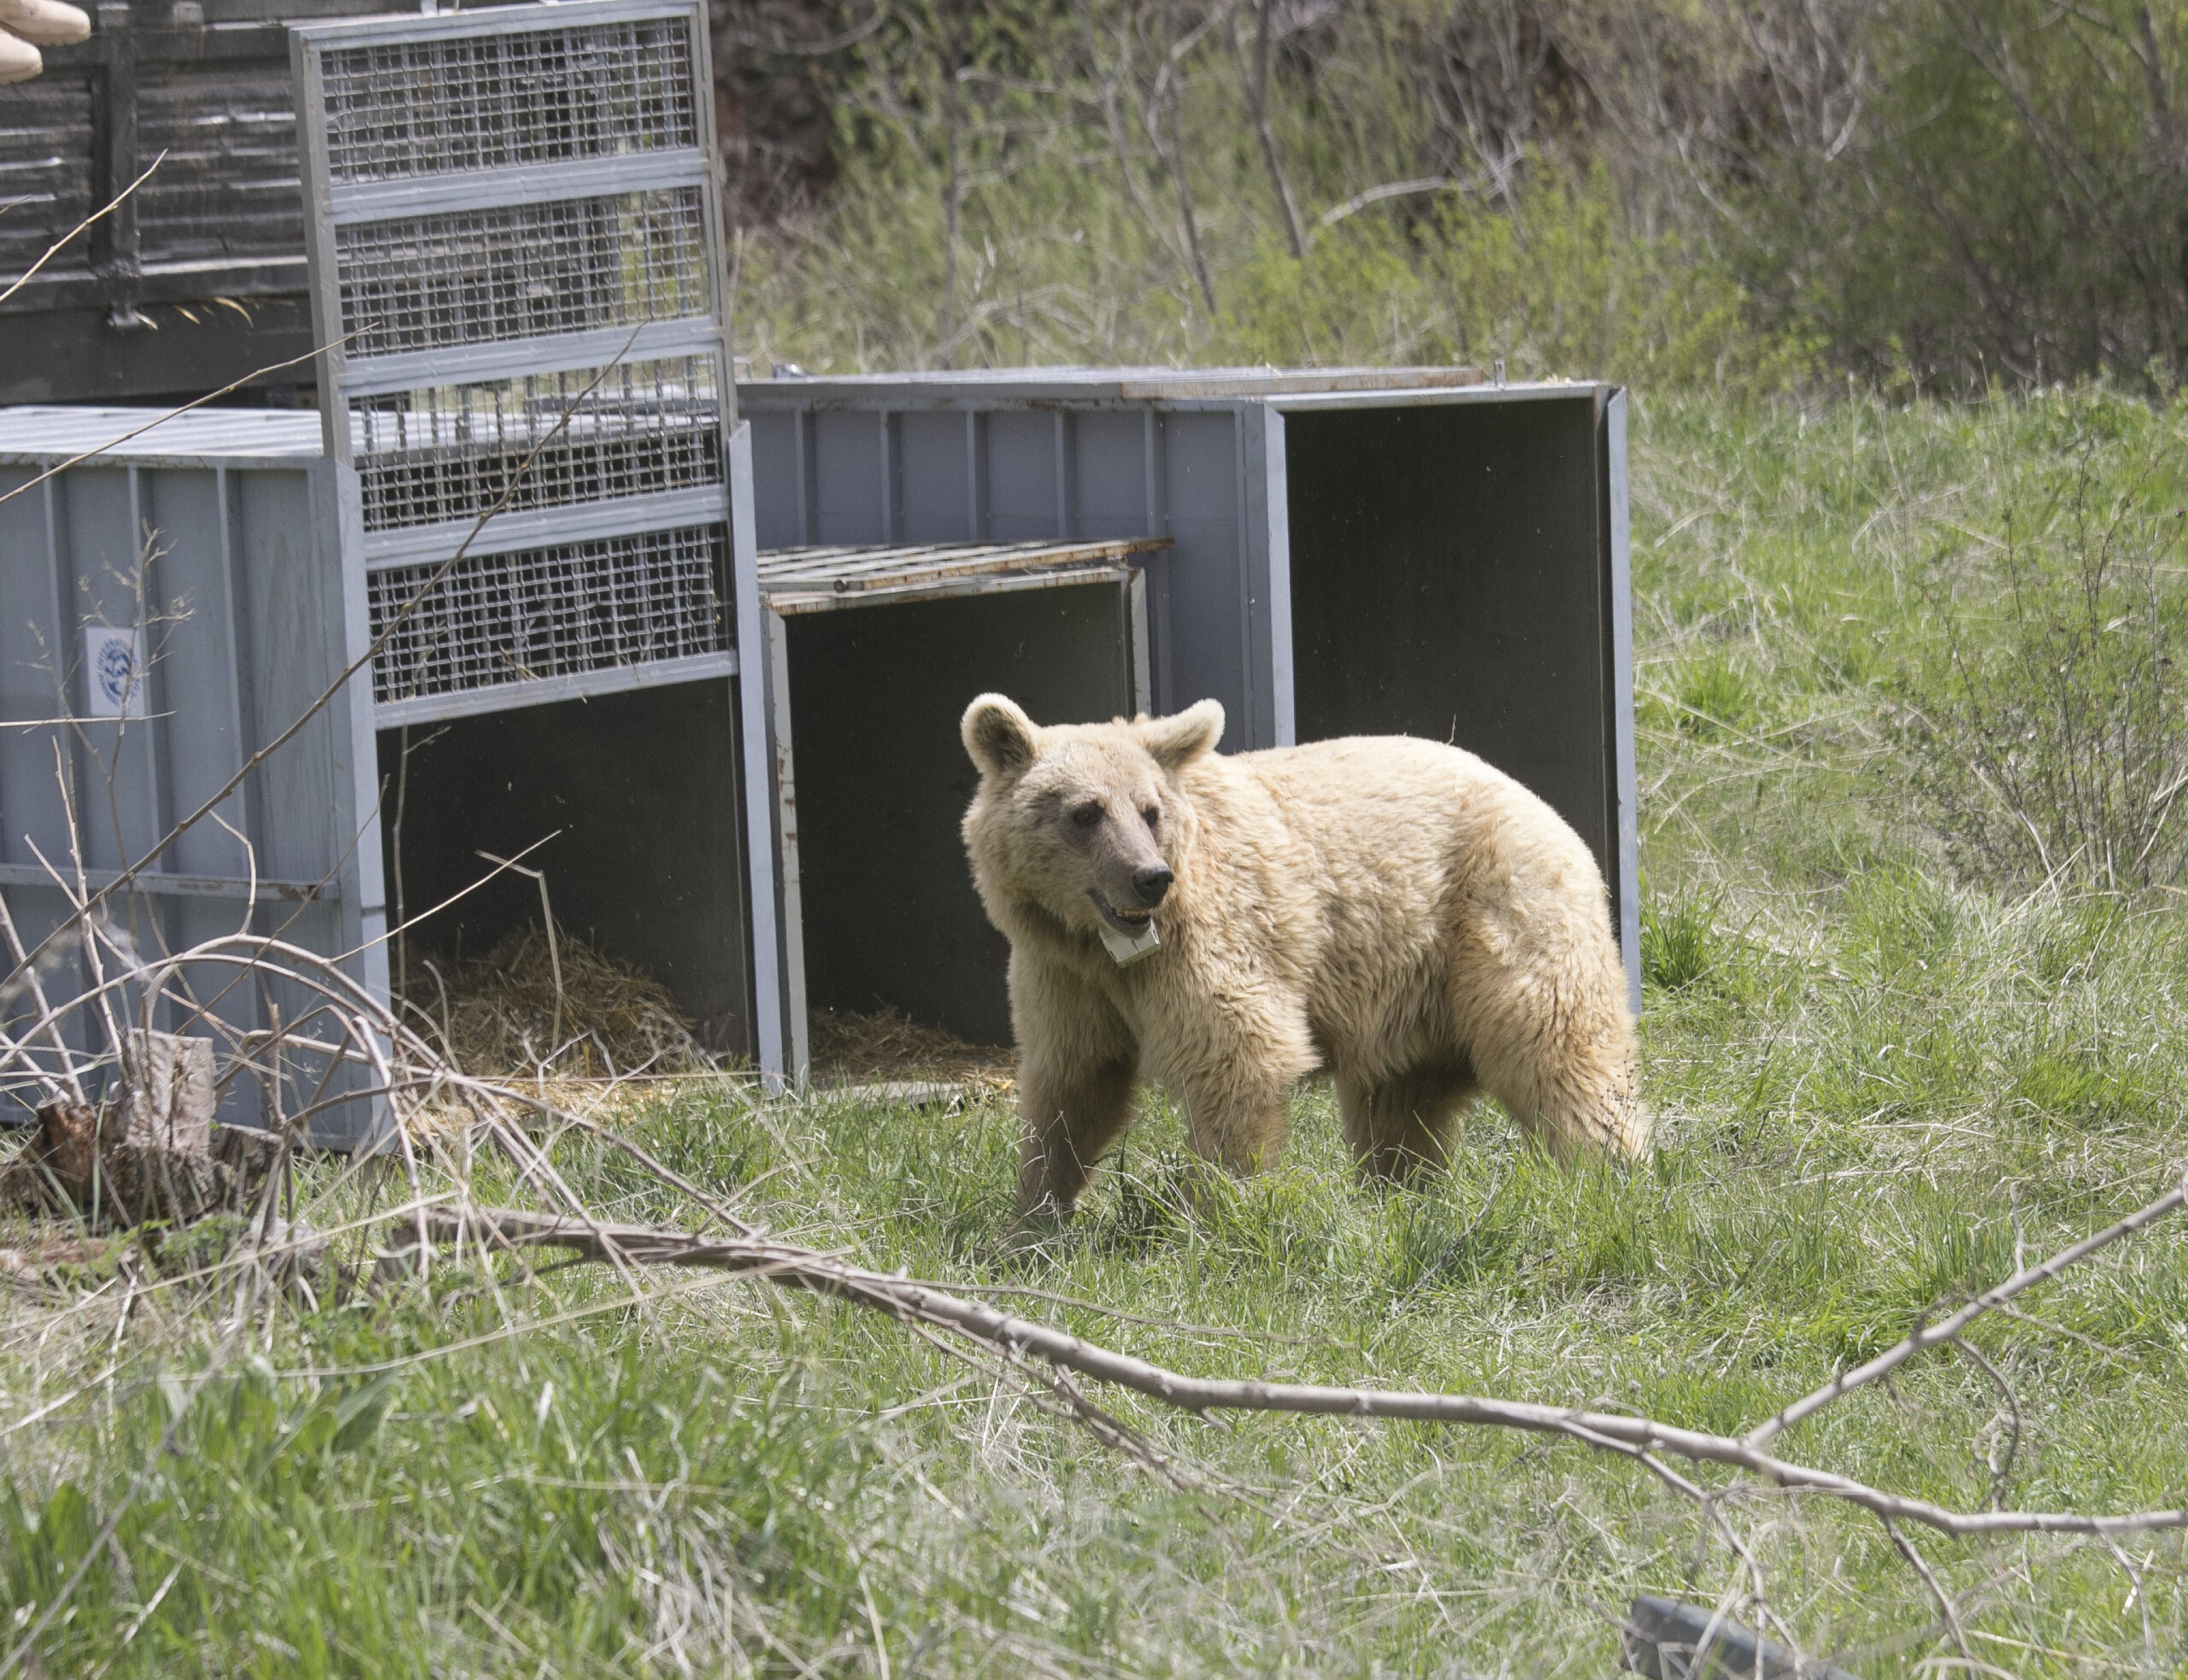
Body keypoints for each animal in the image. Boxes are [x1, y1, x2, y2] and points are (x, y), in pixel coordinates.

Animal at [959, 693, 1647, 1219]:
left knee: (1555, 1045)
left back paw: (1610, 1173)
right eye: (1086, 811)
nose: (1150, 878)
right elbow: (1072, 1088)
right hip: (1405, 982)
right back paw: (1400, 1195)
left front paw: (1215, 1210)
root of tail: (1540, 803)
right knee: (1399, 1104)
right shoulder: (1065, 978)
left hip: (1496, 913)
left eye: (1150, 811)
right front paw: (1032, 1217)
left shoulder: (1210, 947)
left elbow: (1238, 1057)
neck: (1103, 946)